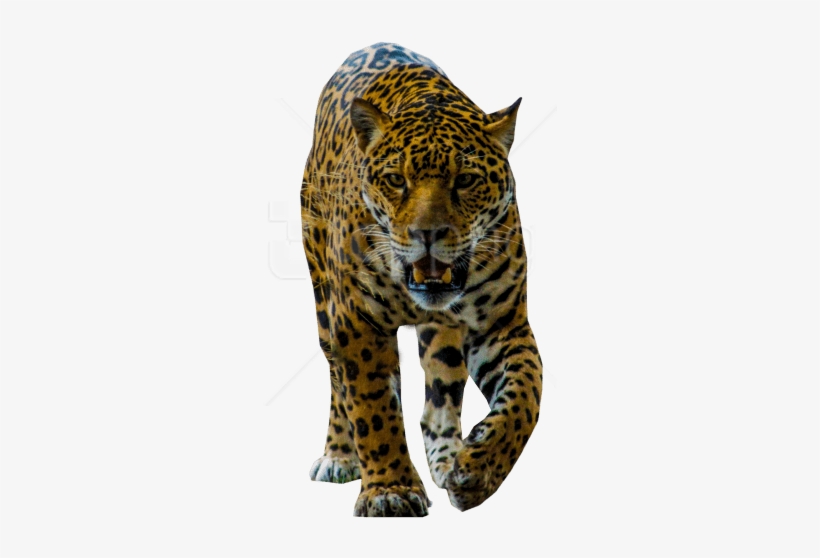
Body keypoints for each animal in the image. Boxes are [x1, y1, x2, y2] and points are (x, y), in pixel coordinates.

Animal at [300, 43, 543, 516]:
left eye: (465, 180)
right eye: (396, 180)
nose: (427, 234)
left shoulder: (502, 323)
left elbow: (526, 395)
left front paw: (478, 469)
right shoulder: (357, 321)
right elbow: (373, 408)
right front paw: (390, 490)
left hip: (443, 337)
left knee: (440, 397)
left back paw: (448, 460)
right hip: (323, 302)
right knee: (337, 380)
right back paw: (339, 455)